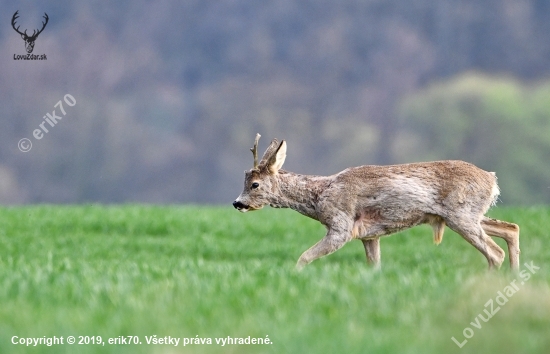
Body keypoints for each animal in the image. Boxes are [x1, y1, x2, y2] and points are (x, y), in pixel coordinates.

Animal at [233, 134, 520, 270]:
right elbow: (375, 266)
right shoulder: (369, 235)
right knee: (512, 229)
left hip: (461, 215)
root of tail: (492, 179)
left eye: (254, 184)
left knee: (495, 252)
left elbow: (303, 257)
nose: (237, 203)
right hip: (468, 216)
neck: (320, 195)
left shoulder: (341, 227)